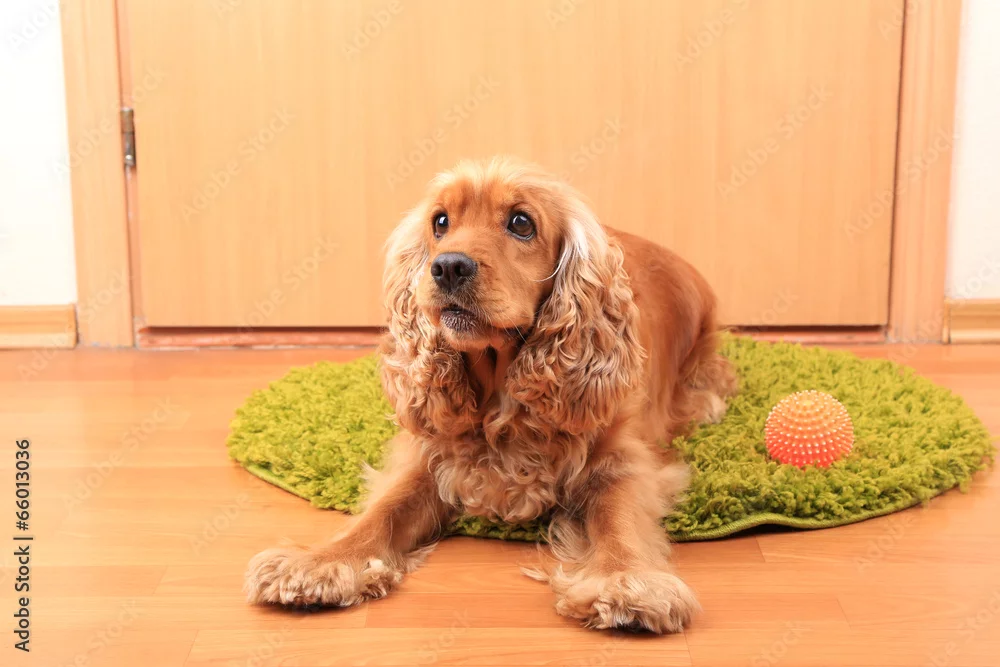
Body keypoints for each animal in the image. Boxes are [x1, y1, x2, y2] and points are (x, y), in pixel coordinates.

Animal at [245, 157, 737, 633]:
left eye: (521, 222)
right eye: (440, 222)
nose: (447, 266)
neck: (501, 394)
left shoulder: (624, 457)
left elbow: (618, 519)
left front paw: (626, 582)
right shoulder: (425, 456)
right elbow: (382, 512)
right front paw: (320, 563)